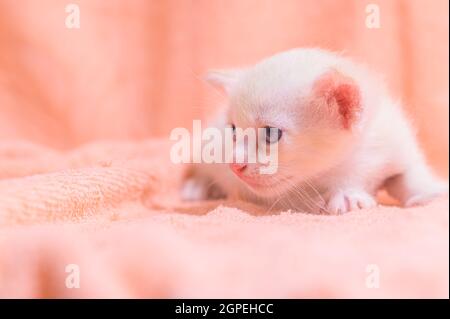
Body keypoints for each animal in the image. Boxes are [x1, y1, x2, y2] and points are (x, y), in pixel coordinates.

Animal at [181, 48, 448, 214]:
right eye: (234, 130)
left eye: (270, 134)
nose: (235, 165)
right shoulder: (262, 192)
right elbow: (289, 197)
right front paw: (340, 196)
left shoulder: (394, 139)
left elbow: (410, 172)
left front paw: (429, 192)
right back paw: (197, 189)